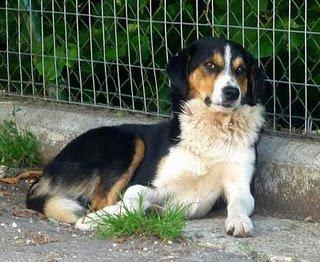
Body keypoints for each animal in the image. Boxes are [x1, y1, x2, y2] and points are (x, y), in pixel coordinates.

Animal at [25, 37, 264, 237]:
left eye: (241, 70)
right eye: (210, 65)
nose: (232, 92)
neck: (212, 132)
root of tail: (46, 171)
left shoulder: (241, 186)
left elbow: (239, 204)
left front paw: (239, 221)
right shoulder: (150, 183)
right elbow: (134, 195)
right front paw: (99, 219)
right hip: (128, 143)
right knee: (99, 201)